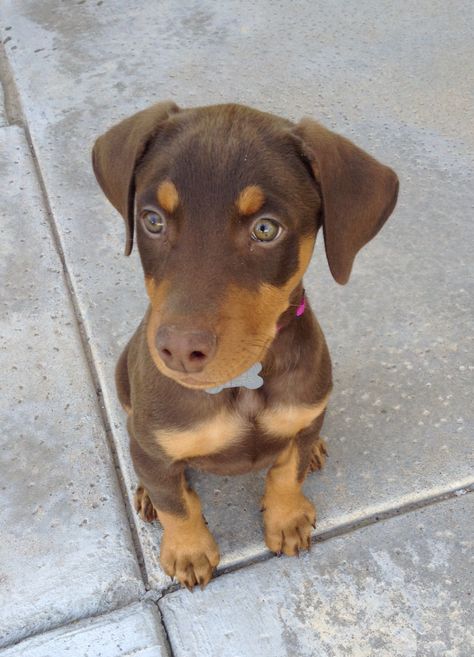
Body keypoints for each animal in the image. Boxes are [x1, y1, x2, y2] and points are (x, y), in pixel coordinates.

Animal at [90, 102, 398, 588]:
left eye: (266, 229)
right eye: (152, 220)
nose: (179, 351)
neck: (244, 380)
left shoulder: (305, 410)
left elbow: (287, 472)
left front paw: (287, 517)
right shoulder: (154, 442)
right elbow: (176, 503)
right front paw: (188, 550)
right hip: (126, 382)